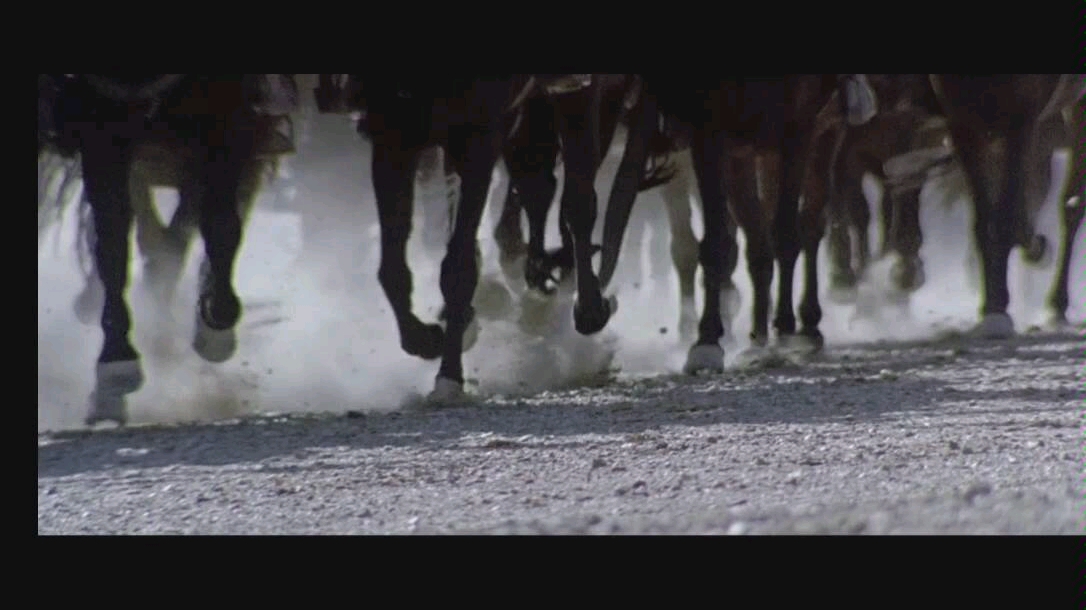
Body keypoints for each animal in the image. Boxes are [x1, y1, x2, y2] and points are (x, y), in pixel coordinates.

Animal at [42, 74, 288, 423]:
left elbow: (220, 225)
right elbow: (113, 242)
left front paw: (216, 326)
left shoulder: (226, 118)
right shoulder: (99, 123)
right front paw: (116, 362)